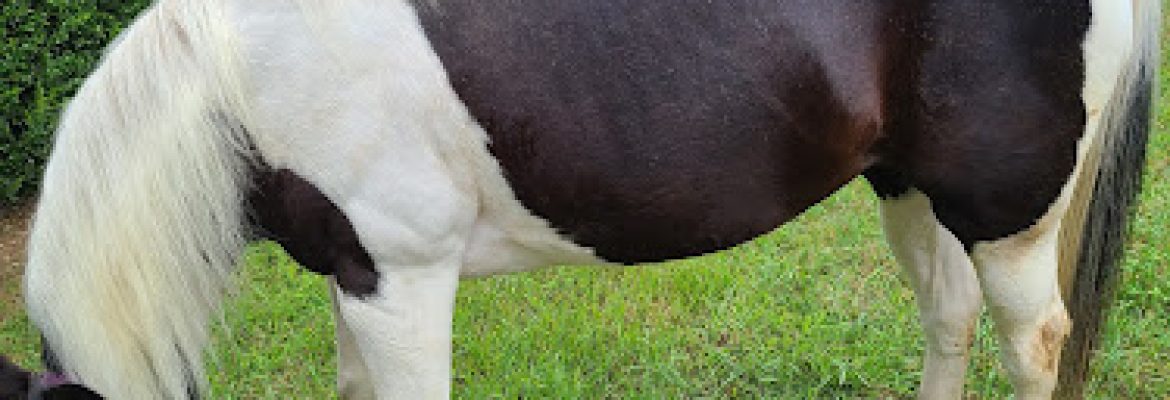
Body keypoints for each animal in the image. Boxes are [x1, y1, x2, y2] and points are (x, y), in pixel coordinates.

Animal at [15, 0, 1158, 398]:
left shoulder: (403, 283)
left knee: (1033, 342)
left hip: (1009, 214)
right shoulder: (356, 281)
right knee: (949, 317)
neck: (241, 78)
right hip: (912, 186)